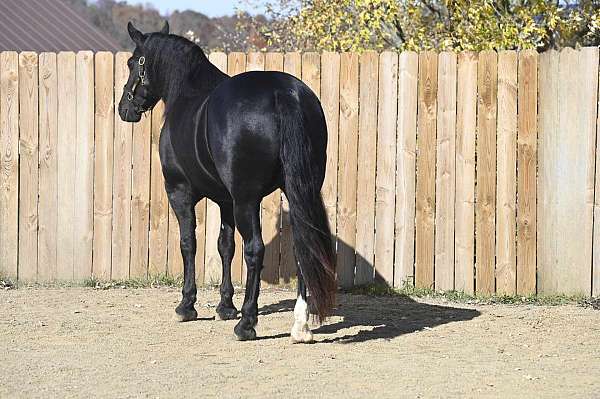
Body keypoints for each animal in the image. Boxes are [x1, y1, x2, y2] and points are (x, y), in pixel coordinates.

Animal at [118, 21, 338, 340]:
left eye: (133, 63)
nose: (124, 109)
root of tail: (284, 94)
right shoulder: (225, 199)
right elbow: (225, 246)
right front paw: (225, 306)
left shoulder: (180, 191)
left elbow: (189, 243)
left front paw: (187, 305)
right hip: (297, 190)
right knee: (302, 248)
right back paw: (300, 326)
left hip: (246, 199)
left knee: (255, 249)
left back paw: (246, 323)